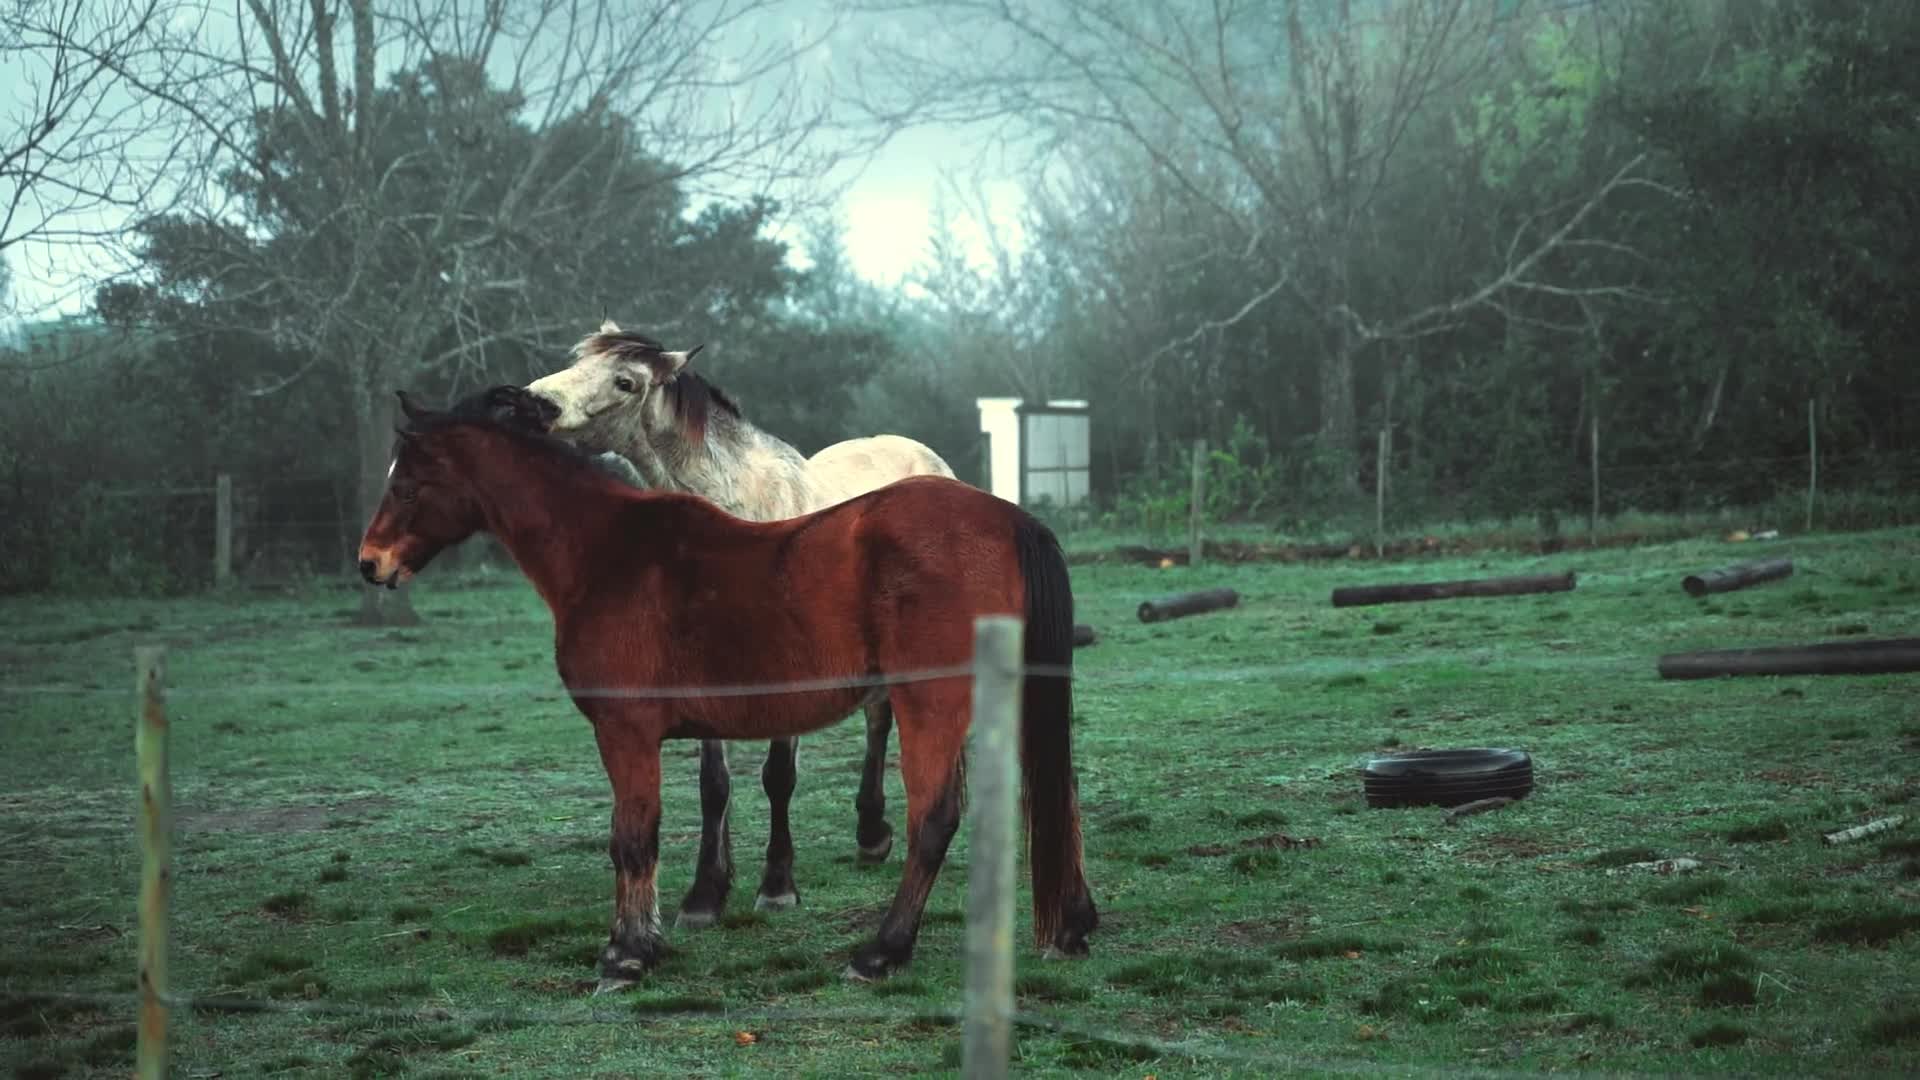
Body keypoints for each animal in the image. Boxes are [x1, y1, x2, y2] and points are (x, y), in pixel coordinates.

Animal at [355, 387, 1097, 990]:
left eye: (409, 485)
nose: (370, 564)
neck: (608, 554)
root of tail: (1009, 519)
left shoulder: (625, 734)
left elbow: (633, 838)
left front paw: (627, 955)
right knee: (1051, 796)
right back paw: (1071, 923)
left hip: (931, 706)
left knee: (934, 819)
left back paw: (880, 952)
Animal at [521, 322, 958, 930]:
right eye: (578, 359)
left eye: (625, 381)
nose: (536, 403)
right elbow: (714, 784)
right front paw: (706, 894)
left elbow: (778, 775)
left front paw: (777, 887)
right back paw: (871, 834)